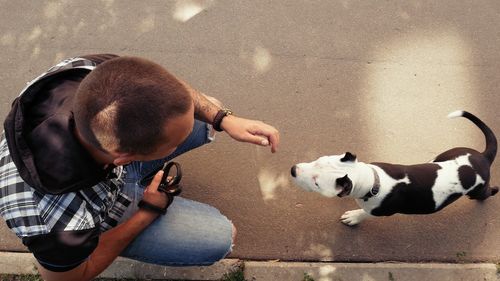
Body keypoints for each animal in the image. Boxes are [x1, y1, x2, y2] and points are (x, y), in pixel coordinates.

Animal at [292, 110, 498, 225]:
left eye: (317, 183)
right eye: (318, 160)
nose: (293, 170)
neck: (372, 182)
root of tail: (483, 157)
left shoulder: (380, 211)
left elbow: (365, 214)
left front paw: (354, 217)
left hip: (478, 191)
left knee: (488, 192)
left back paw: (494, 191)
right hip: (446, 154)